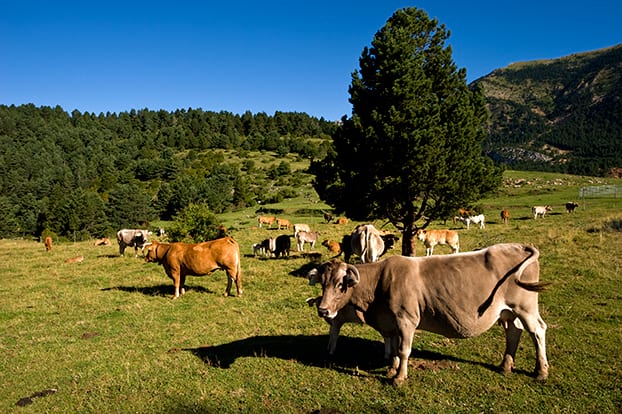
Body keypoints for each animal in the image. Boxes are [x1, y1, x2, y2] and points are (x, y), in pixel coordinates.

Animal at [310, 244, 552, 386]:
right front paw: (391, 370)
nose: (323, 309)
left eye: (341, 284)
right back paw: (505, 366)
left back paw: (541, 371)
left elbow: (404, 350)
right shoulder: (392, 322)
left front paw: (399, 377)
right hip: (507, 312)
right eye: (322, 282)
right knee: (514, 332)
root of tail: (517, 246)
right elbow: (395, 349)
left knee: (537, 330)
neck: (380, 282)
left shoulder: (406, 319)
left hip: (525, 307)